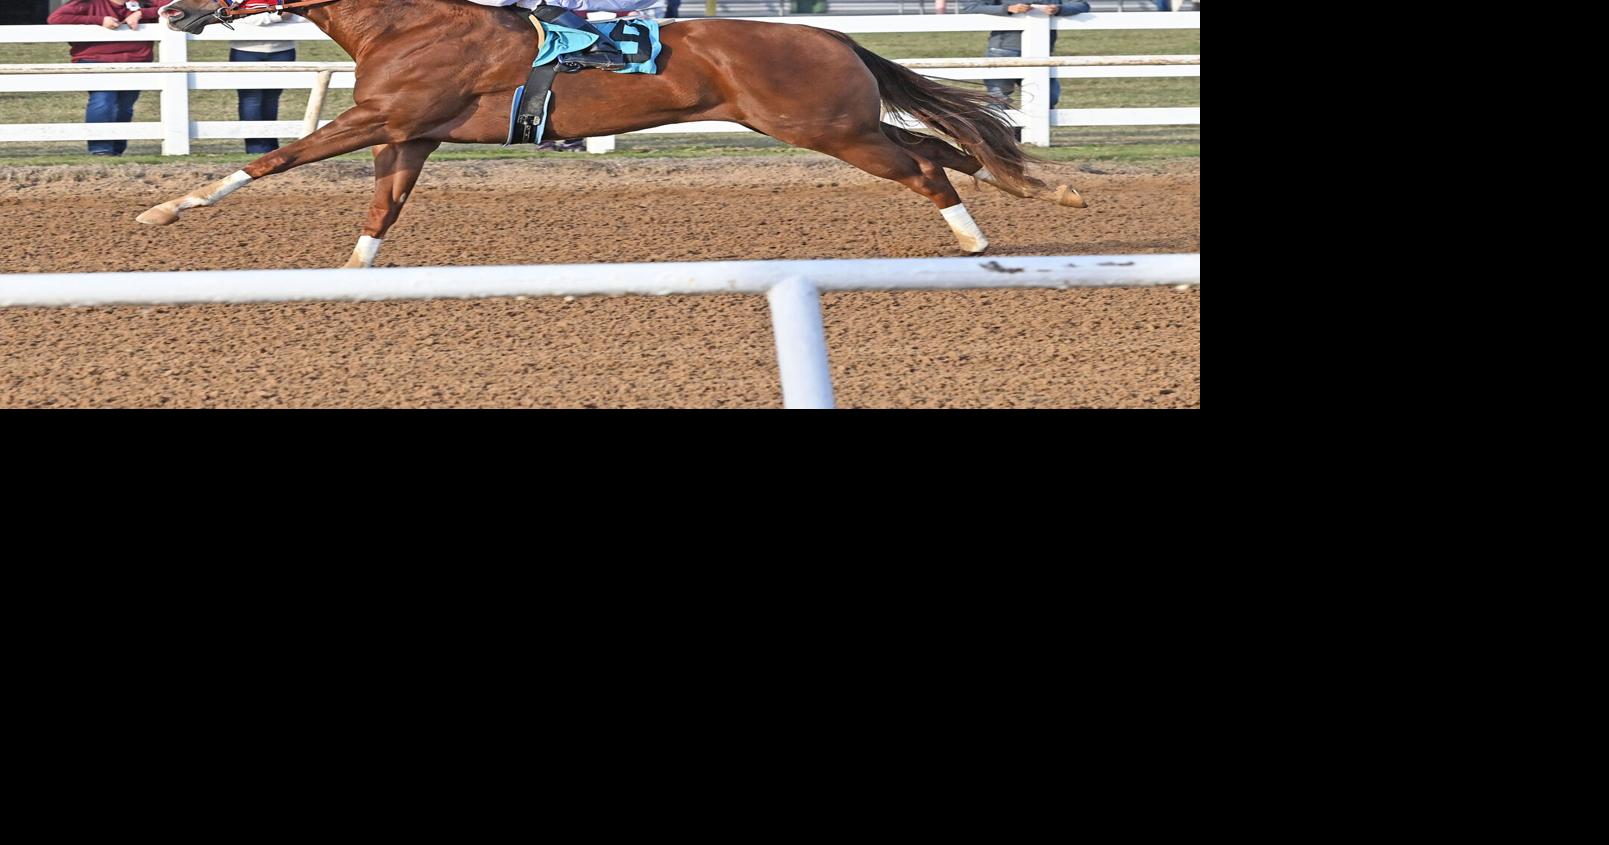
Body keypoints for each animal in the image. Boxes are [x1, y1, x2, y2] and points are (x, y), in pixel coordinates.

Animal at [143, 0, 1085, 268]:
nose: (166, 10)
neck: (406, 24)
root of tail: (833, 36)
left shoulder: (377, 116)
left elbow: (277, 157)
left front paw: (164, 211)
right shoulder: (405, 134)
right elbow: (384, 209)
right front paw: (351, 275)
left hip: (828, 126)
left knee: (927, 167)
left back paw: (975, 242)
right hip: (839, 123)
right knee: (947, 149)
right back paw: (1047, 190)